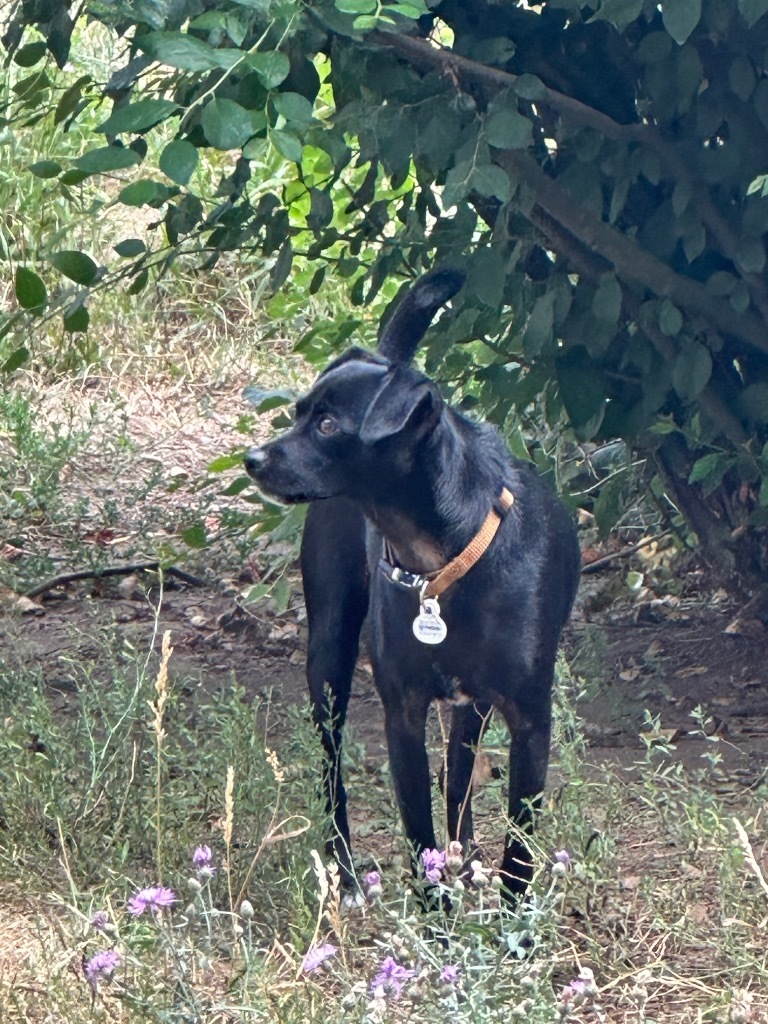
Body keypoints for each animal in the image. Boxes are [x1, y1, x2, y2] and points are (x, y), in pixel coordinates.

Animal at [243, 270, 581, 897]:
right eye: (298, 412)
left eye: (328, 424)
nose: (253, 459)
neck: (443, 562)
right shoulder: (403, 714)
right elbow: (418, 835)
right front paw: (437, 913)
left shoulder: (529, 720)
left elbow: (518, 849)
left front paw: (511, 917)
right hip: (329, 657)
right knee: (333, 773)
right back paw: (346, 873)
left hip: (473, 701)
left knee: (459, 771)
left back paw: (465, 861)